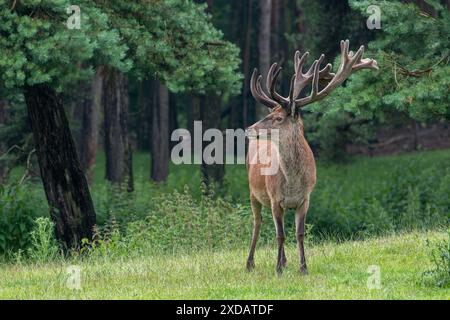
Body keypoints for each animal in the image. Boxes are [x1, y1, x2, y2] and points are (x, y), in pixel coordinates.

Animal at [244, 40, 378, 276]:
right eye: (269, 114)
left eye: (278, 118)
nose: (248, 129)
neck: (293, 182)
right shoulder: (275, 198)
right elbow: (280, 235)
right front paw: (278, 270)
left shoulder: (305, 199)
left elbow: (299, 233)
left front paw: (302, 267)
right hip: (253, 192)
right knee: (257, 223)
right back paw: (250, 263)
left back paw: (284, 261)